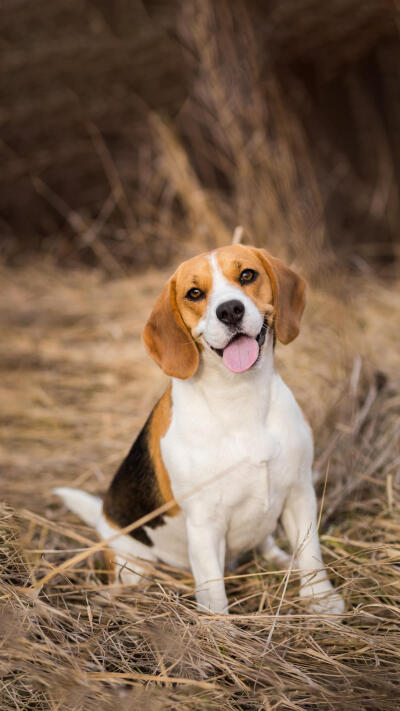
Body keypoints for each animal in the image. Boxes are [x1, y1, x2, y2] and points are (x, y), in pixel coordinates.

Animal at [55, 248, 344, 616]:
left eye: (247, 275)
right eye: (194, 293)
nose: (230, 310)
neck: (241, 398)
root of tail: (103, 516)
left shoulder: (299, 492)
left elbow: (311, 554)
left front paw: (321, 599)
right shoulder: (205, 523)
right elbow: (214, 592)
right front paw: (220, 628)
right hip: (132, 562)